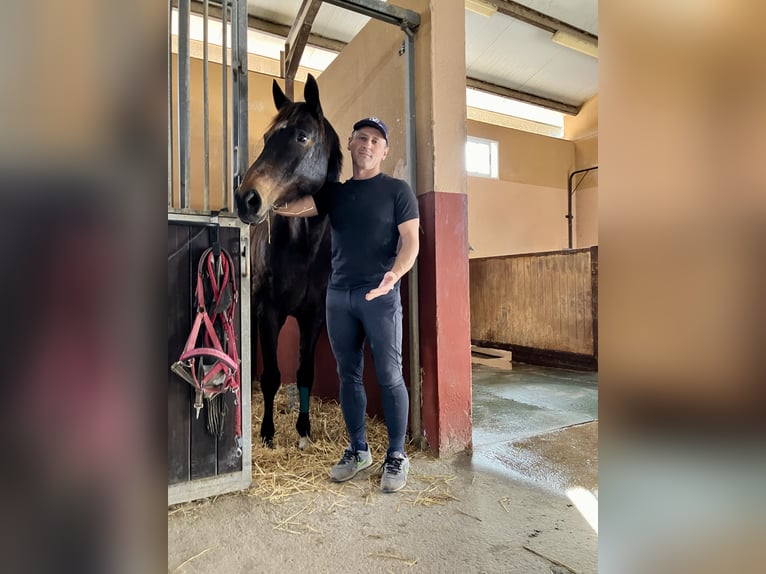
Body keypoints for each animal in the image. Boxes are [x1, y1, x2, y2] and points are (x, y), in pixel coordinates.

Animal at [234, 74, 341, 449]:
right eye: (268, 138)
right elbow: (271, 376)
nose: (246, 199)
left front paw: (304, 429)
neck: (303, 250)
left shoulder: (313, 317)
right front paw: (267, 433)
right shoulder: (269, 312)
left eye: (302, 136)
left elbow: (305, 373)